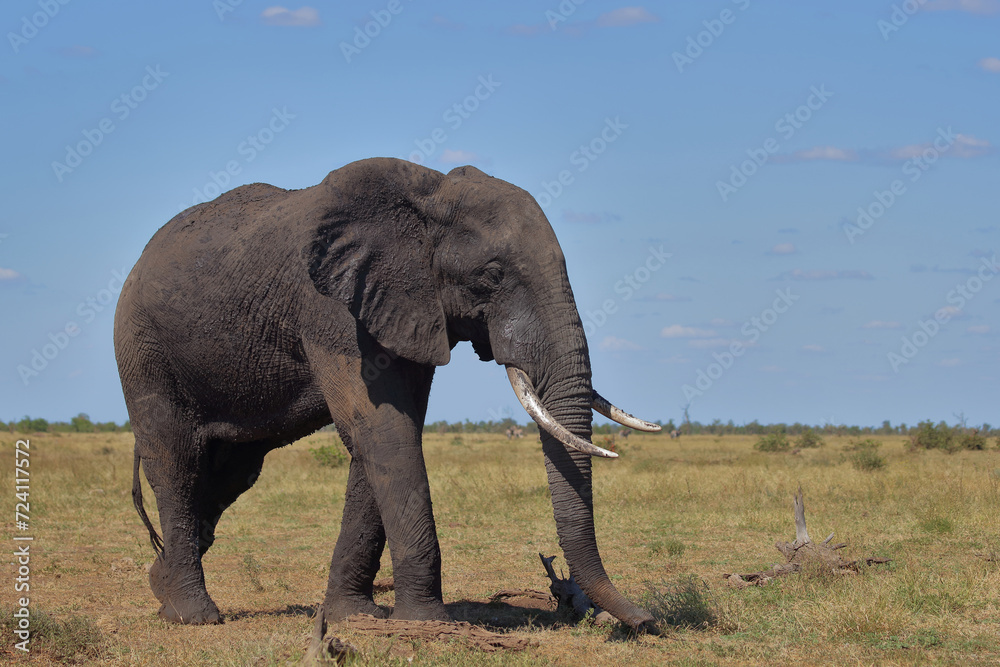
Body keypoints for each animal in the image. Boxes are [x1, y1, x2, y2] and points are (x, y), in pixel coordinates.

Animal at [114, 157, 661, 630]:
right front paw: (427, 624)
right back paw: (192, 615)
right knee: (177, 461)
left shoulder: (409, 310)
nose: (644, 622)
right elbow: (382, 430)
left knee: (228, 473)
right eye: (492, 275)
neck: (430, 195)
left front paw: (353, 616)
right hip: (143, 350)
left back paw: (160, 585)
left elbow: (383, 436)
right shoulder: (330, 308)